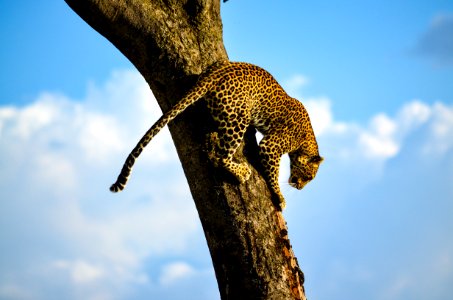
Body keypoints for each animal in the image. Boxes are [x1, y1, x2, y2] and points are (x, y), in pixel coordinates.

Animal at [109, 62, 322, 210]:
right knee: (221, 156)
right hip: (239, 119)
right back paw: (242, 172)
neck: (307, 141)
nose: (300, 188)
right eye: (308, 176)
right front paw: (280, 198)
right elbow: (274, 174)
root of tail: (215, 75)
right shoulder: (271, 146)